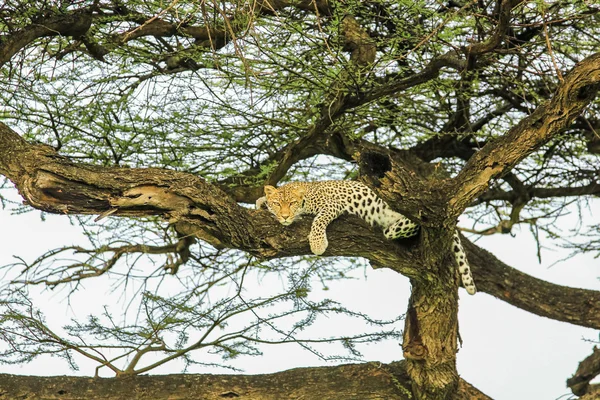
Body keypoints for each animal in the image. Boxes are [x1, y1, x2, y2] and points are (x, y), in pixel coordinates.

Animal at [255, 180, 476, 294]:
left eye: (291, 203)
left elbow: (318, 220)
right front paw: (261, 202)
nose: (284, 216)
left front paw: (317, 243)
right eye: (277, 203)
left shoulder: (331, 205)